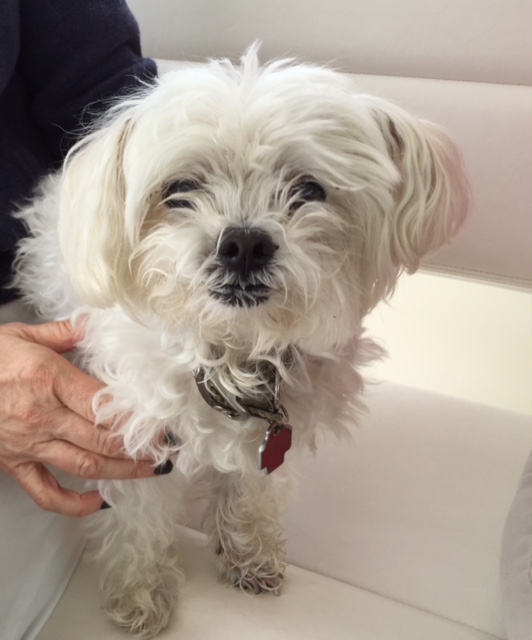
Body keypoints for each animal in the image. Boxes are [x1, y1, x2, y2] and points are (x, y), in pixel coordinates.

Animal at [13, 46, 469, 637]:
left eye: (309, 189)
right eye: (179, 190)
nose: (244, 244)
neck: (232, 353)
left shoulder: (272, 442)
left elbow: (251, 493)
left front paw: (248, 555)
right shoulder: (132, 441)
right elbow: (136, 526)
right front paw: (141, 593)